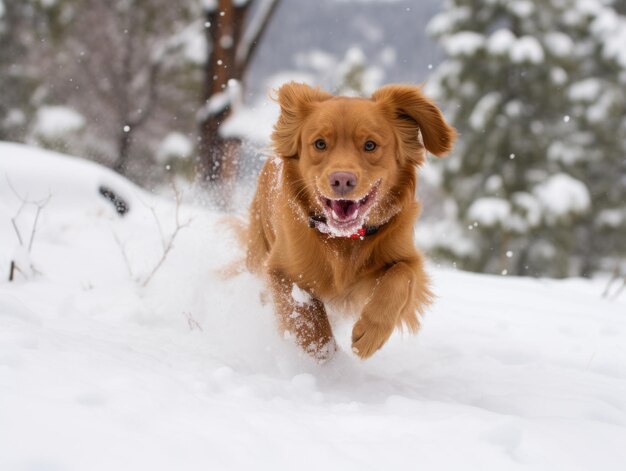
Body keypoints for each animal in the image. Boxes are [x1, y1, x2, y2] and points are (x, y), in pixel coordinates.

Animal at [244, 83, 454, 362]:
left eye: (370, 145)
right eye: (320, 144)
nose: (342, 180)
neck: (344, 238)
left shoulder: (407, 258)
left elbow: (402, 275)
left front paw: (370, 334)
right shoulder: (281, 269)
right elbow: (308, 316)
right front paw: (325, 354)